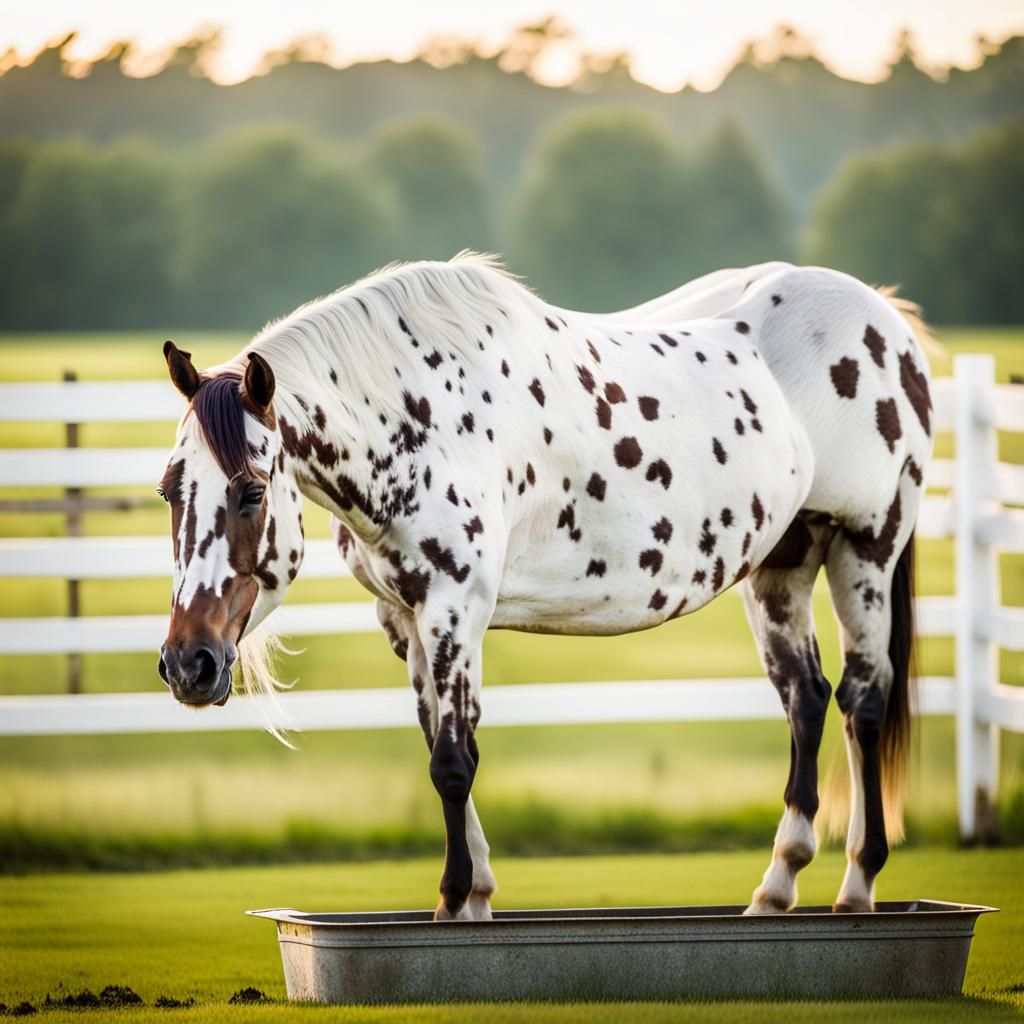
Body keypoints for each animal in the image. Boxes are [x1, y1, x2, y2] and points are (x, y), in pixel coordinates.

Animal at [156, 254, 934, 921]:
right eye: (168, 489)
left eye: (253, 490)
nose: (189, 664)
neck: (417, 418)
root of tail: (888, 321)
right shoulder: (409, 620)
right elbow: (445, 745)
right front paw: (475, 896)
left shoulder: (455, 610)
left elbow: (452, 761)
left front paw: (454, 902)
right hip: (781, 565)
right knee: (806, 697)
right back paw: (778, 886)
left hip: (867, 547)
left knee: (863, 701)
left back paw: (858, 886)